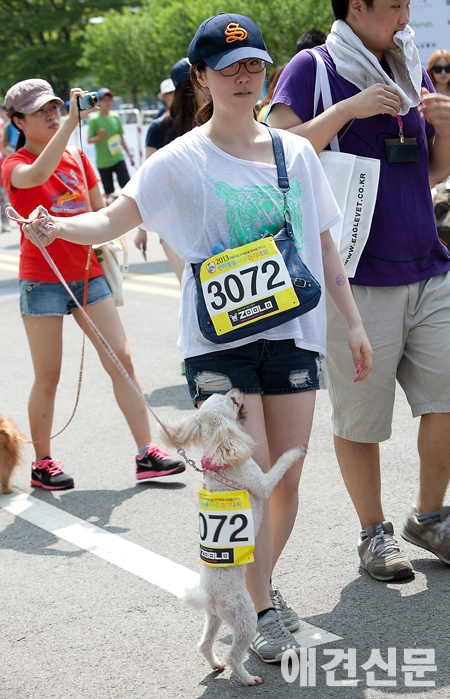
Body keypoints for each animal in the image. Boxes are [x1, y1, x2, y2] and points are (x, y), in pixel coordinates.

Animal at [161, 392, 302, 688]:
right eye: (231, 401)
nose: (237, 390)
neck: (221, 459)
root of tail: (210, 597)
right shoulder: (262, 482)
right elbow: (280, 465)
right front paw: (295, 452)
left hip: (214, 618)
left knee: (204, 644)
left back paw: (216, 665)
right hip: (244, 616)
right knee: (235, 654)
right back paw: (248, 678)